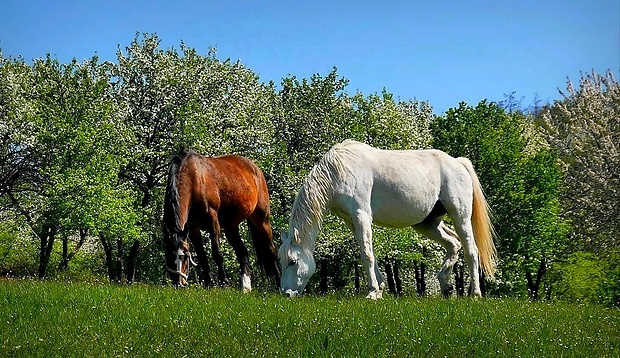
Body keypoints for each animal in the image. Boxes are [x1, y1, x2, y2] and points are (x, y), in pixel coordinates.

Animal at [165, 148, 280, 290]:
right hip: (231, 227)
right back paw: (246, 287)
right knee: (243, 253)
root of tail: (255, 169)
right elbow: (202, 255)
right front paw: (208, 283)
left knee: (272, 250)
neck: (194, 179)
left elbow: (216, 252)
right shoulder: (193, 227)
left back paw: (280, 284)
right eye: (168, 254)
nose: (178, 283)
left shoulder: (212, 218)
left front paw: (224, 282)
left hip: (262, 220)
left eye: (185, 256)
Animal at [278, 140, 496, 300]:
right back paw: (446, 287)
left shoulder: (362, 215)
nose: (286, 294)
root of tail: (458, 162)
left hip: (460, 216)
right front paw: (380, 289)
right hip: (427, 224)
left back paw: (475, 294)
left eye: (293, 261)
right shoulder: (352, 221)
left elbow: (366, 254)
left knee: (471, 250)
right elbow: (368, 251)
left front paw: (373, 292)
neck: (338, 170)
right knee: (453, 244)